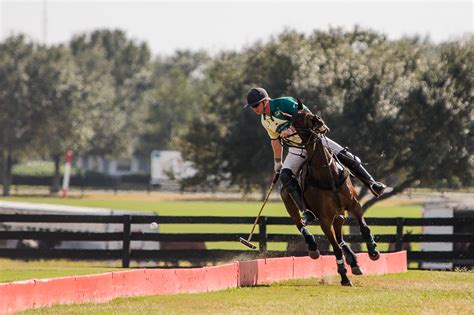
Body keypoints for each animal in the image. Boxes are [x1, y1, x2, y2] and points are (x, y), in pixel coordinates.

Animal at [280, 112, 380, 288]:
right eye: (294, 121)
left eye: (307, 112)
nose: (319, 123)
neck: (327, 173)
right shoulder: (325, 220)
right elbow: (335, 249)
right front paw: (344, 277)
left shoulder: (355, 205)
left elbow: (364, 228)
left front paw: (373, 250)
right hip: (292, 205)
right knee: (301, 225)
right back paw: (313, 246)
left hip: (339, 215)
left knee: (340, 238)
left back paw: (354, 262)